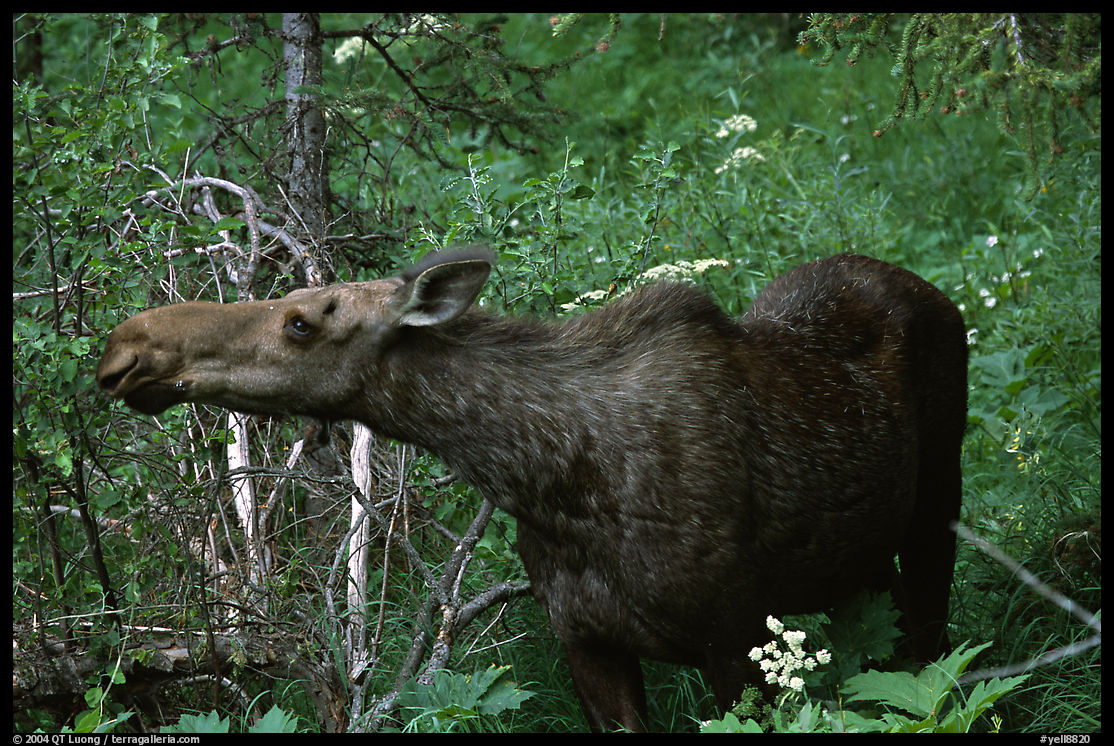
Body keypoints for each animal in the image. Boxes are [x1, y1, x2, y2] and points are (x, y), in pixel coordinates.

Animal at [97, 247, 967, 731]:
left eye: (302, 321)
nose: (127, 348)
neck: (552, 483)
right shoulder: (585, 640)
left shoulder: (734, 636)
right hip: (856, 558)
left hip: (938, 507)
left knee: (931, 647)